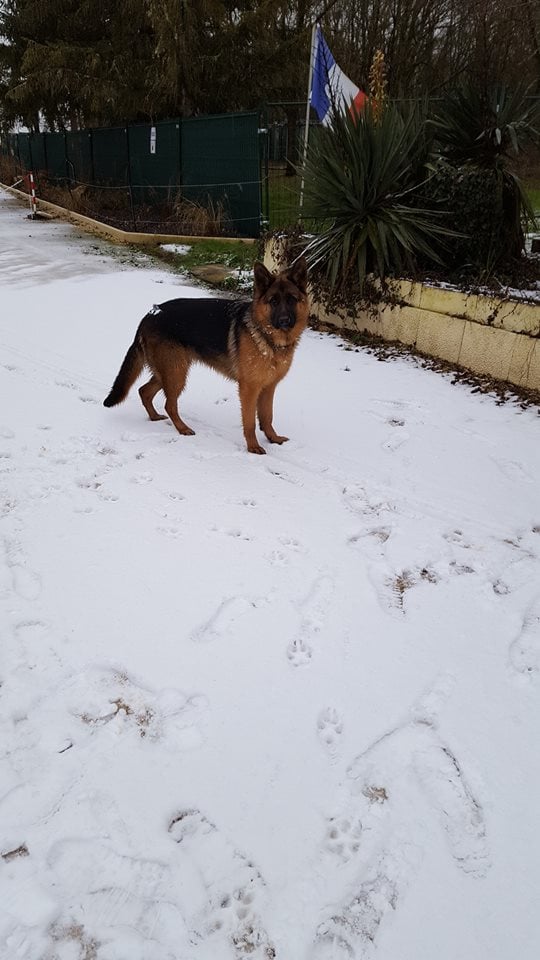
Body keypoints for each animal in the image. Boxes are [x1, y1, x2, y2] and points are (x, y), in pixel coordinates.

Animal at [103, 258, 308, 454]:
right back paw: (182, 428)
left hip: (169, 372)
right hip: (176, 373)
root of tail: (150, 314)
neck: (266, 335)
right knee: (169, 404)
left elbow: (267, 417)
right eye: (273, 301)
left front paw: (273, 438)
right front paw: (252, 447)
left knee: (144, 391)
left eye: (292, 300)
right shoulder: (249, 389)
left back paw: (154, 417)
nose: (284, 321)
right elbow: (249, 421)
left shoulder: (268, 387)